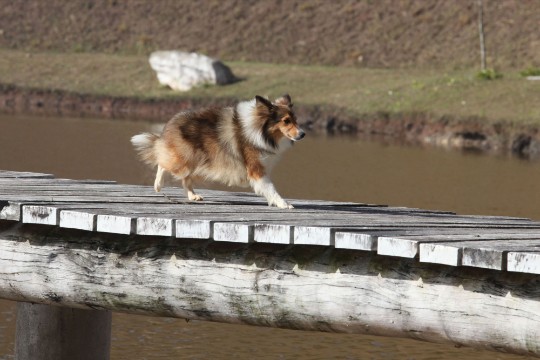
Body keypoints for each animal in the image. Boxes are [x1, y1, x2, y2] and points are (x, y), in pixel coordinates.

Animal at [131, 94, 304, 210]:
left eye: (296, 120)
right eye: (286, 121)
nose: (303, 134)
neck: (260, 129)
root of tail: (171, 122)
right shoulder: (256, 169)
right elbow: (271, 188)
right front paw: (284, 204)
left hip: (198, 163)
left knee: (186, 179)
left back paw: (193, 196)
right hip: (183, 159)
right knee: (162, 162)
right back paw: (158, 186)